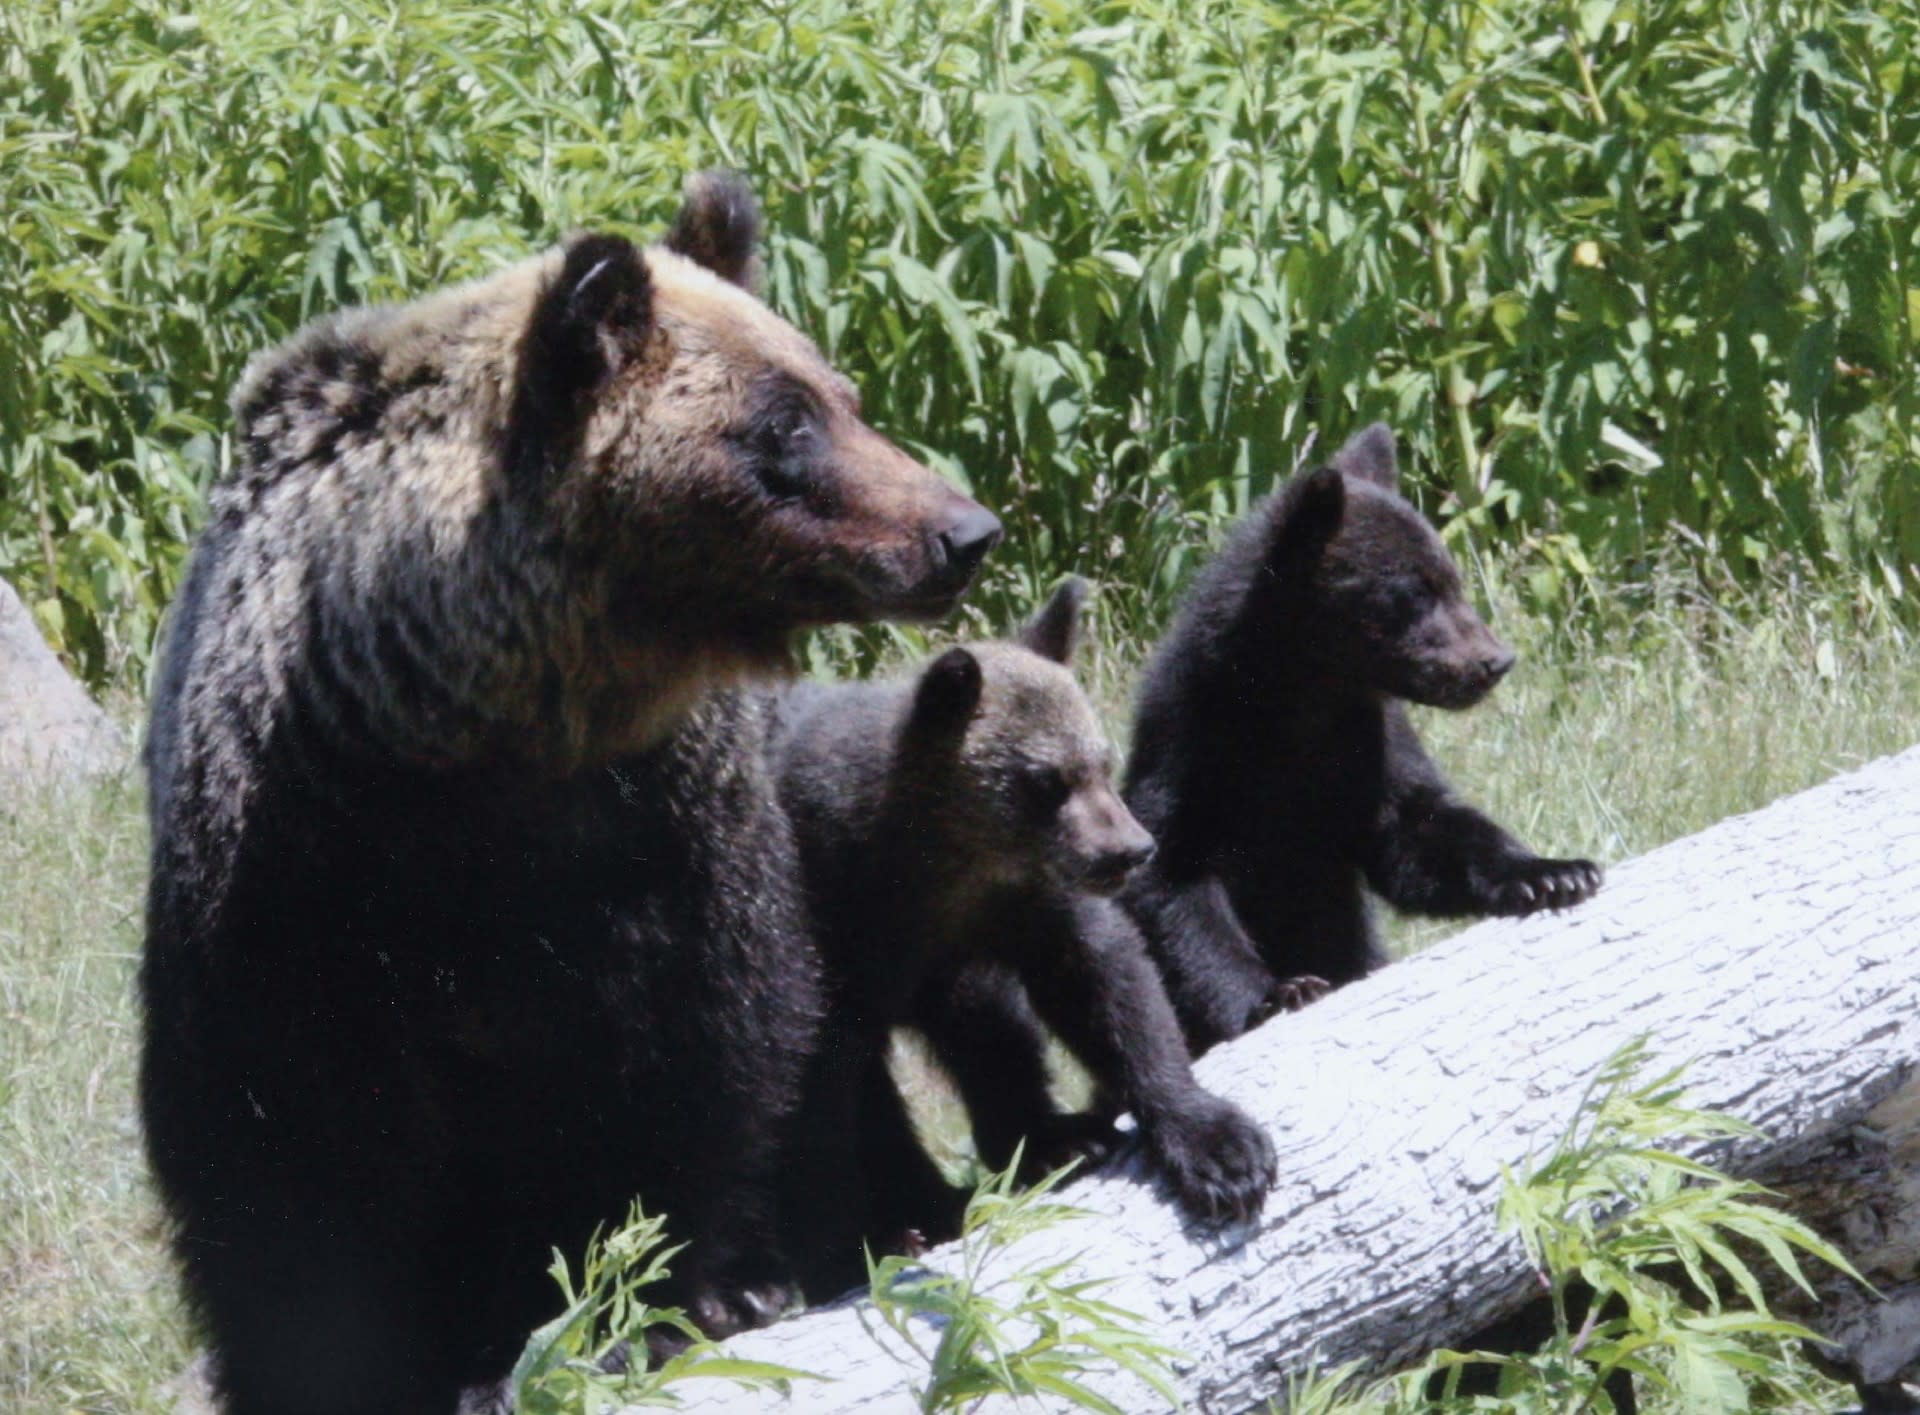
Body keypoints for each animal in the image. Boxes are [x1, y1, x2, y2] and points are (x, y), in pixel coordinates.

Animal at [140, 167, 998, 1413]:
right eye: (783, 426)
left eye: (844, 393)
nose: (961, 530)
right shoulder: (297, 869)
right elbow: (289, 1155)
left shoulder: (659, 837)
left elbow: (696, 1067)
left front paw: (653, 1305)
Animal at [764, 575, 1274, 1290]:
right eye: (1046, 779)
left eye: (1100, 761)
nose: (1130, 849)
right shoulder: (840, 916)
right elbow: (838, 1082)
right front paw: (897, 1224)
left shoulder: (1030, 904)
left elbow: (1107, 984)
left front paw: (1219, 1148)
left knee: (992, 1032)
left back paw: (1055, 1137)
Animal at [1121, 418, 1597, 1052]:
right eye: (1414, 593)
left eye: (1453, 580)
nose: (1494, 661)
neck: (1301, 704)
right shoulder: (1192, 742)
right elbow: (1174, 878)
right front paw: (1278, 992)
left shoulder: (1367, 743)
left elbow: (1418, 827)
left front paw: (1554, 872)